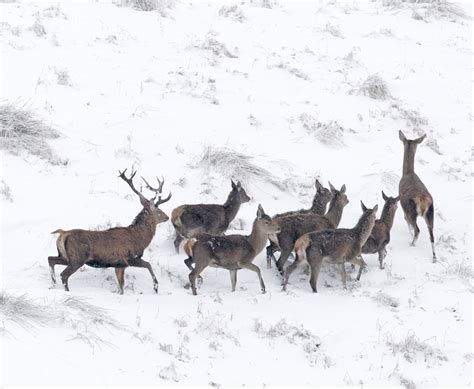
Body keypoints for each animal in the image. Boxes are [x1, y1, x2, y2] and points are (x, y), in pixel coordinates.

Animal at [398, 130, 436, 260]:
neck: (407, 173)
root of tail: (423, 200)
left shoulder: (403, 207)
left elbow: (406, 220)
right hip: (430, 213)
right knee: (432, 235)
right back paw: (434, 257)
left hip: (412, 211)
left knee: (417, 230)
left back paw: (412, 244)